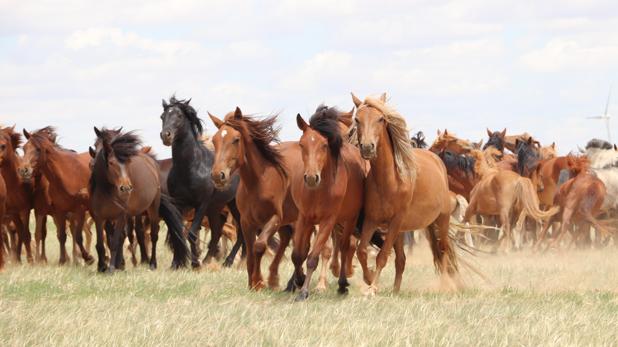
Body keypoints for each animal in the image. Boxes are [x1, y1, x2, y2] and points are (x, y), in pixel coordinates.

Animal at [88, 128, 186, 272]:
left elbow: (117, 240)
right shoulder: (100, 217)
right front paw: (102, 266)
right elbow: (101, 243)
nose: (126, 188)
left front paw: (114, 267)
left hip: (152, 209)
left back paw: (152, 263)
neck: (107, 190)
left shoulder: (121, 215)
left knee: (154, 235)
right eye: (96, 144)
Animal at [159, 96, 243, 268]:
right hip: (216, 207)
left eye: (179, 116)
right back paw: (208, 260)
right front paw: (177, 263)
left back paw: (230, 261)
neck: (191, 168)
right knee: (218, 231)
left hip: (234, 206)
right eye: (162, 117)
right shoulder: (179, 204)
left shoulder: (201, 204)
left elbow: (191, 233)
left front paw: (194, 262)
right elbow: (177, 232)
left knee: (241, 233)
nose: (166, 136)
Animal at [208, 106, 298, 290]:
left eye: (236, 139)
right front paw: (253, 282)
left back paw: (293, 283)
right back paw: (274, 279)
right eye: (214, 140)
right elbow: (249, 251)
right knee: (285, 240)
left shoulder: (274, 218)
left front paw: (259, 282)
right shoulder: (246, 221)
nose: (217, 175)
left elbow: (259, 246)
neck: (259, 182)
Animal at [288, 106, 366, 302]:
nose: (311, 177)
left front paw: (303, 292)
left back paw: (342, 284)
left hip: (349, 220)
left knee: (345, 247)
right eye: (302, 144)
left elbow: (312, 258)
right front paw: (299, 280)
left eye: (324, 145)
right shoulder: (304, 218)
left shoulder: (327, 221)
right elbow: (297, 254)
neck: (319, 190)